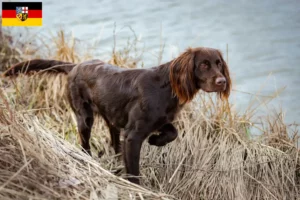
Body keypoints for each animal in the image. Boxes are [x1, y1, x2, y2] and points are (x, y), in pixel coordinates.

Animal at [2, 47, 232, 184]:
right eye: (204, 64)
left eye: (219, 63)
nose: (222, 82)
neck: (166, 87)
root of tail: (76, 65)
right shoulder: (133, 135)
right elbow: (134, 171)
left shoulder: (159, 121)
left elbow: (172, 132)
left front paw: (156, 140)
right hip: (84, 117)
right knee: (84, 145)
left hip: (111, 117)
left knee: (113, 141)